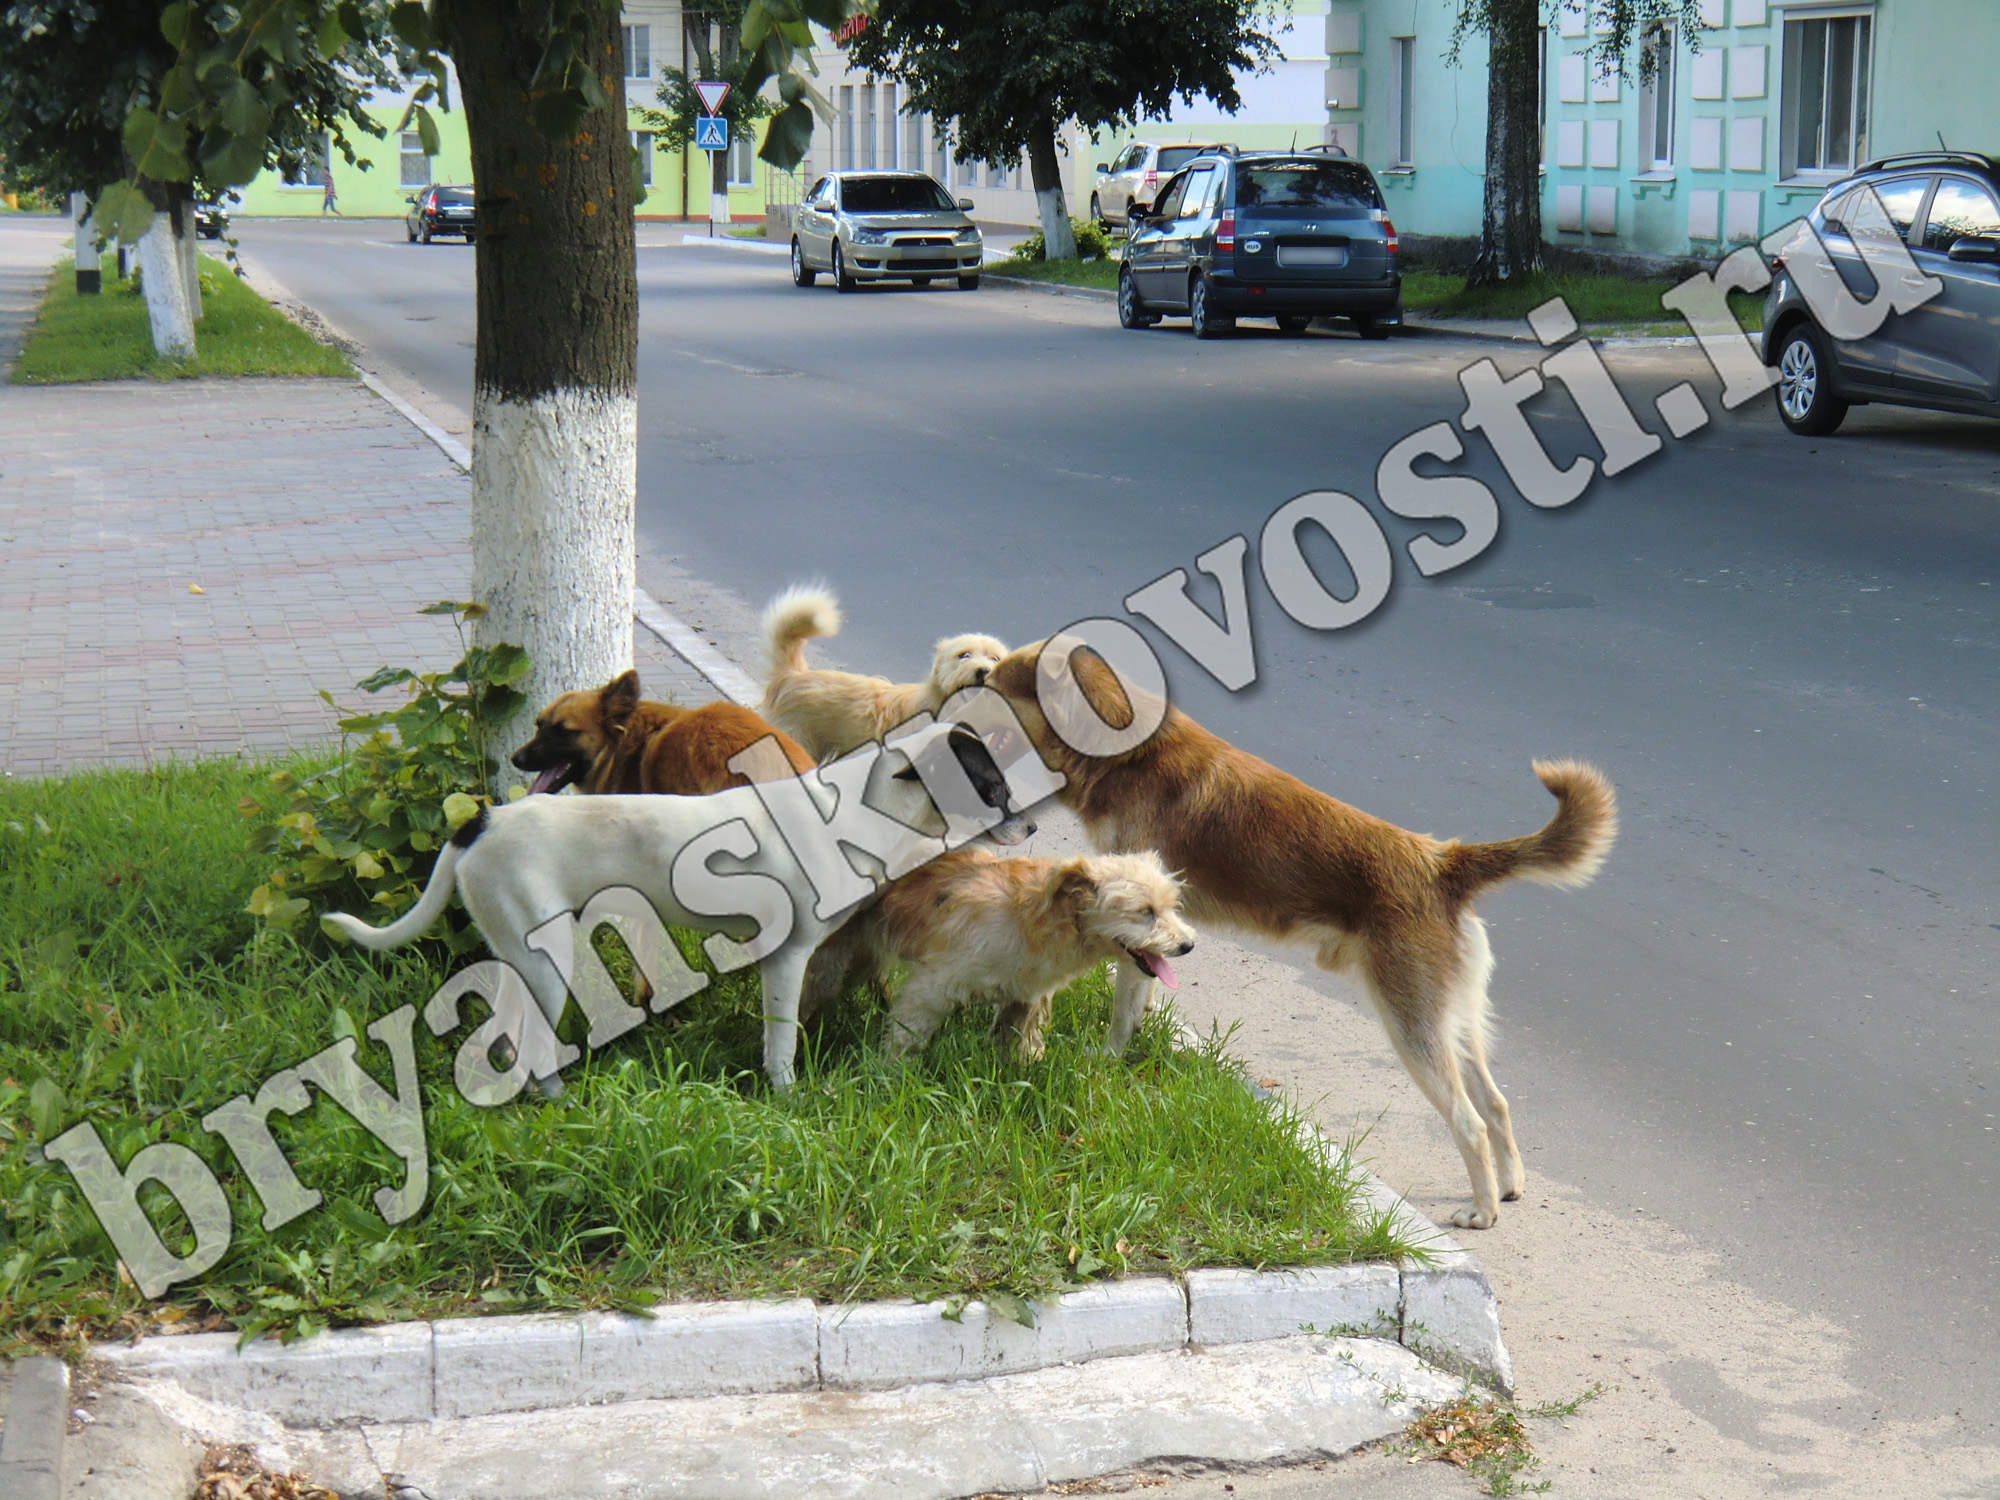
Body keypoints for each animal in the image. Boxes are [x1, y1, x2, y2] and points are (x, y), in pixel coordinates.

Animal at [804, 852, 1192, 1064]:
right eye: (1145, 912)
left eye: (1172, 907)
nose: (1188, 944)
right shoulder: (931, 989)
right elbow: (906, 1036)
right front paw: (889, 1074)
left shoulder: (1025, 995)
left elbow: (1012, 1037)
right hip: (830, 966)